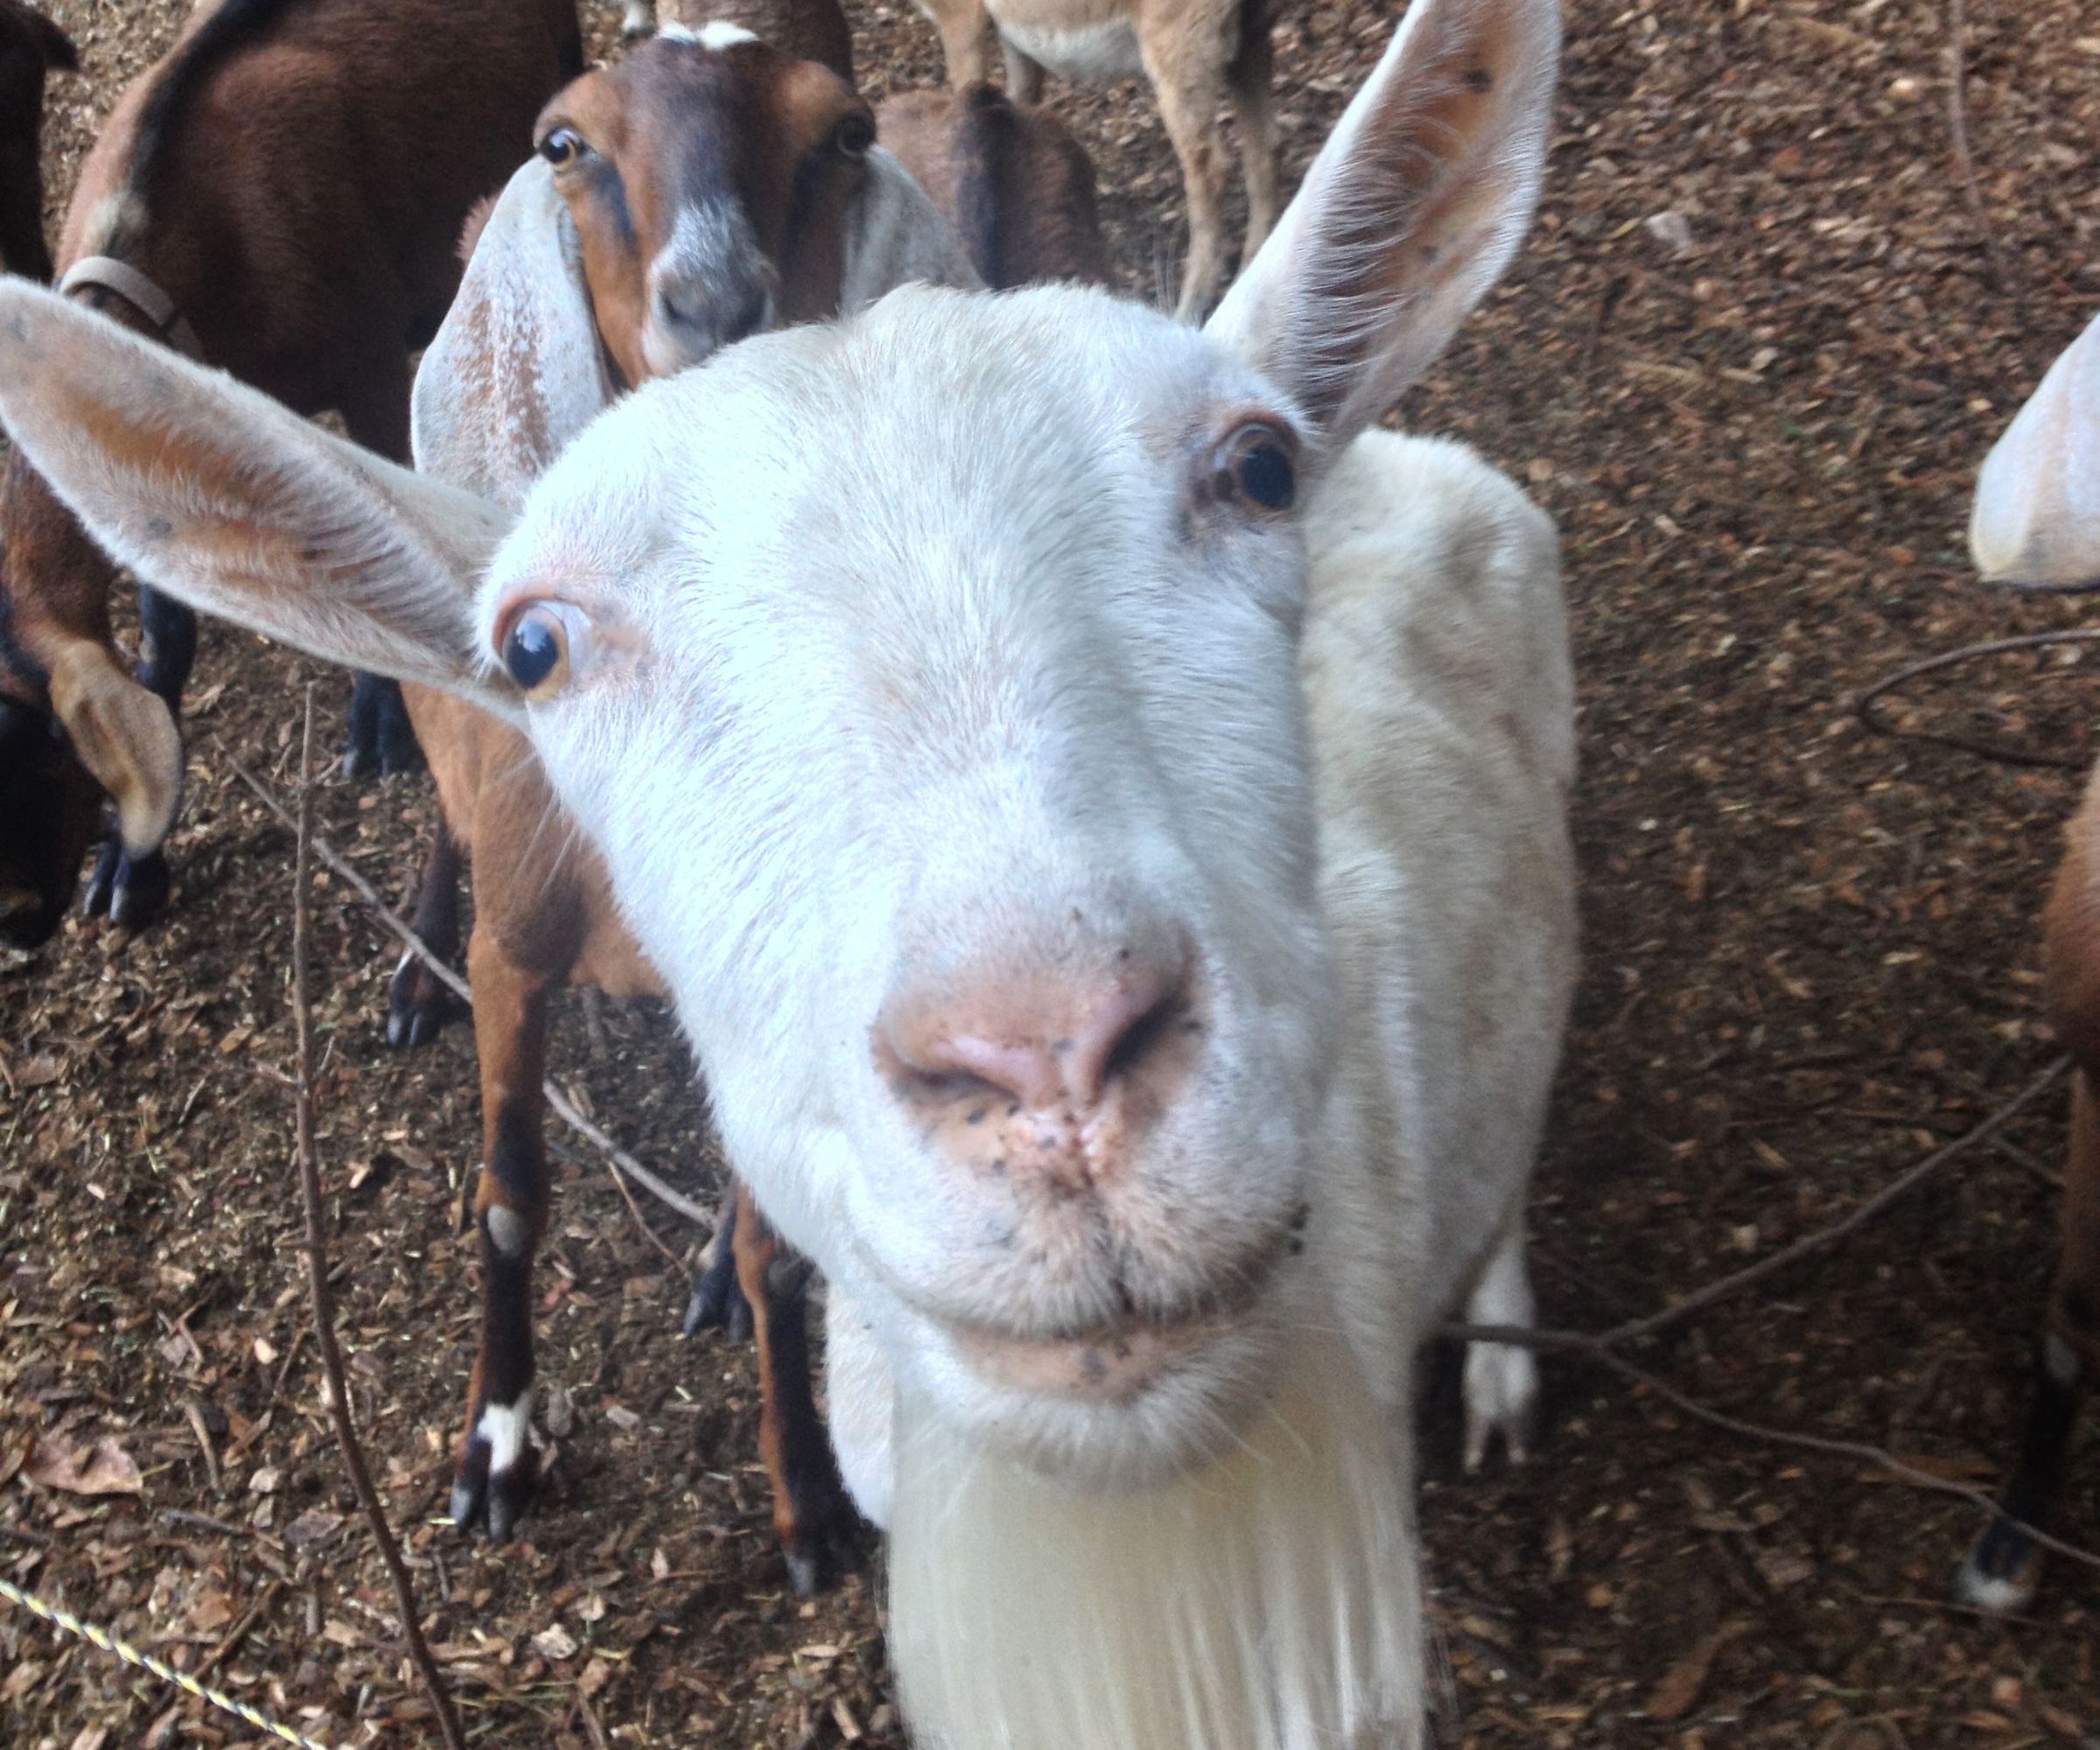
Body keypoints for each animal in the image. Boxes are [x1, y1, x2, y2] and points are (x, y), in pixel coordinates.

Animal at [388, 24, 979, 1566]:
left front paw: (808, 1498)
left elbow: (783, 1244)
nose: (715, 303)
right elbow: (510, 1199)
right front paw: (495, 1443)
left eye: (845, 131)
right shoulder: (518, 946)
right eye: (566, 143)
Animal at [912, 0, 1271, 319]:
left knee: (1210, 165)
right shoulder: (1011, 36)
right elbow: (1019, 101)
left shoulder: (961, 16)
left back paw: (1189, 307)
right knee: (1263, 144)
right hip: (1250, 32)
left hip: (1180, 41)